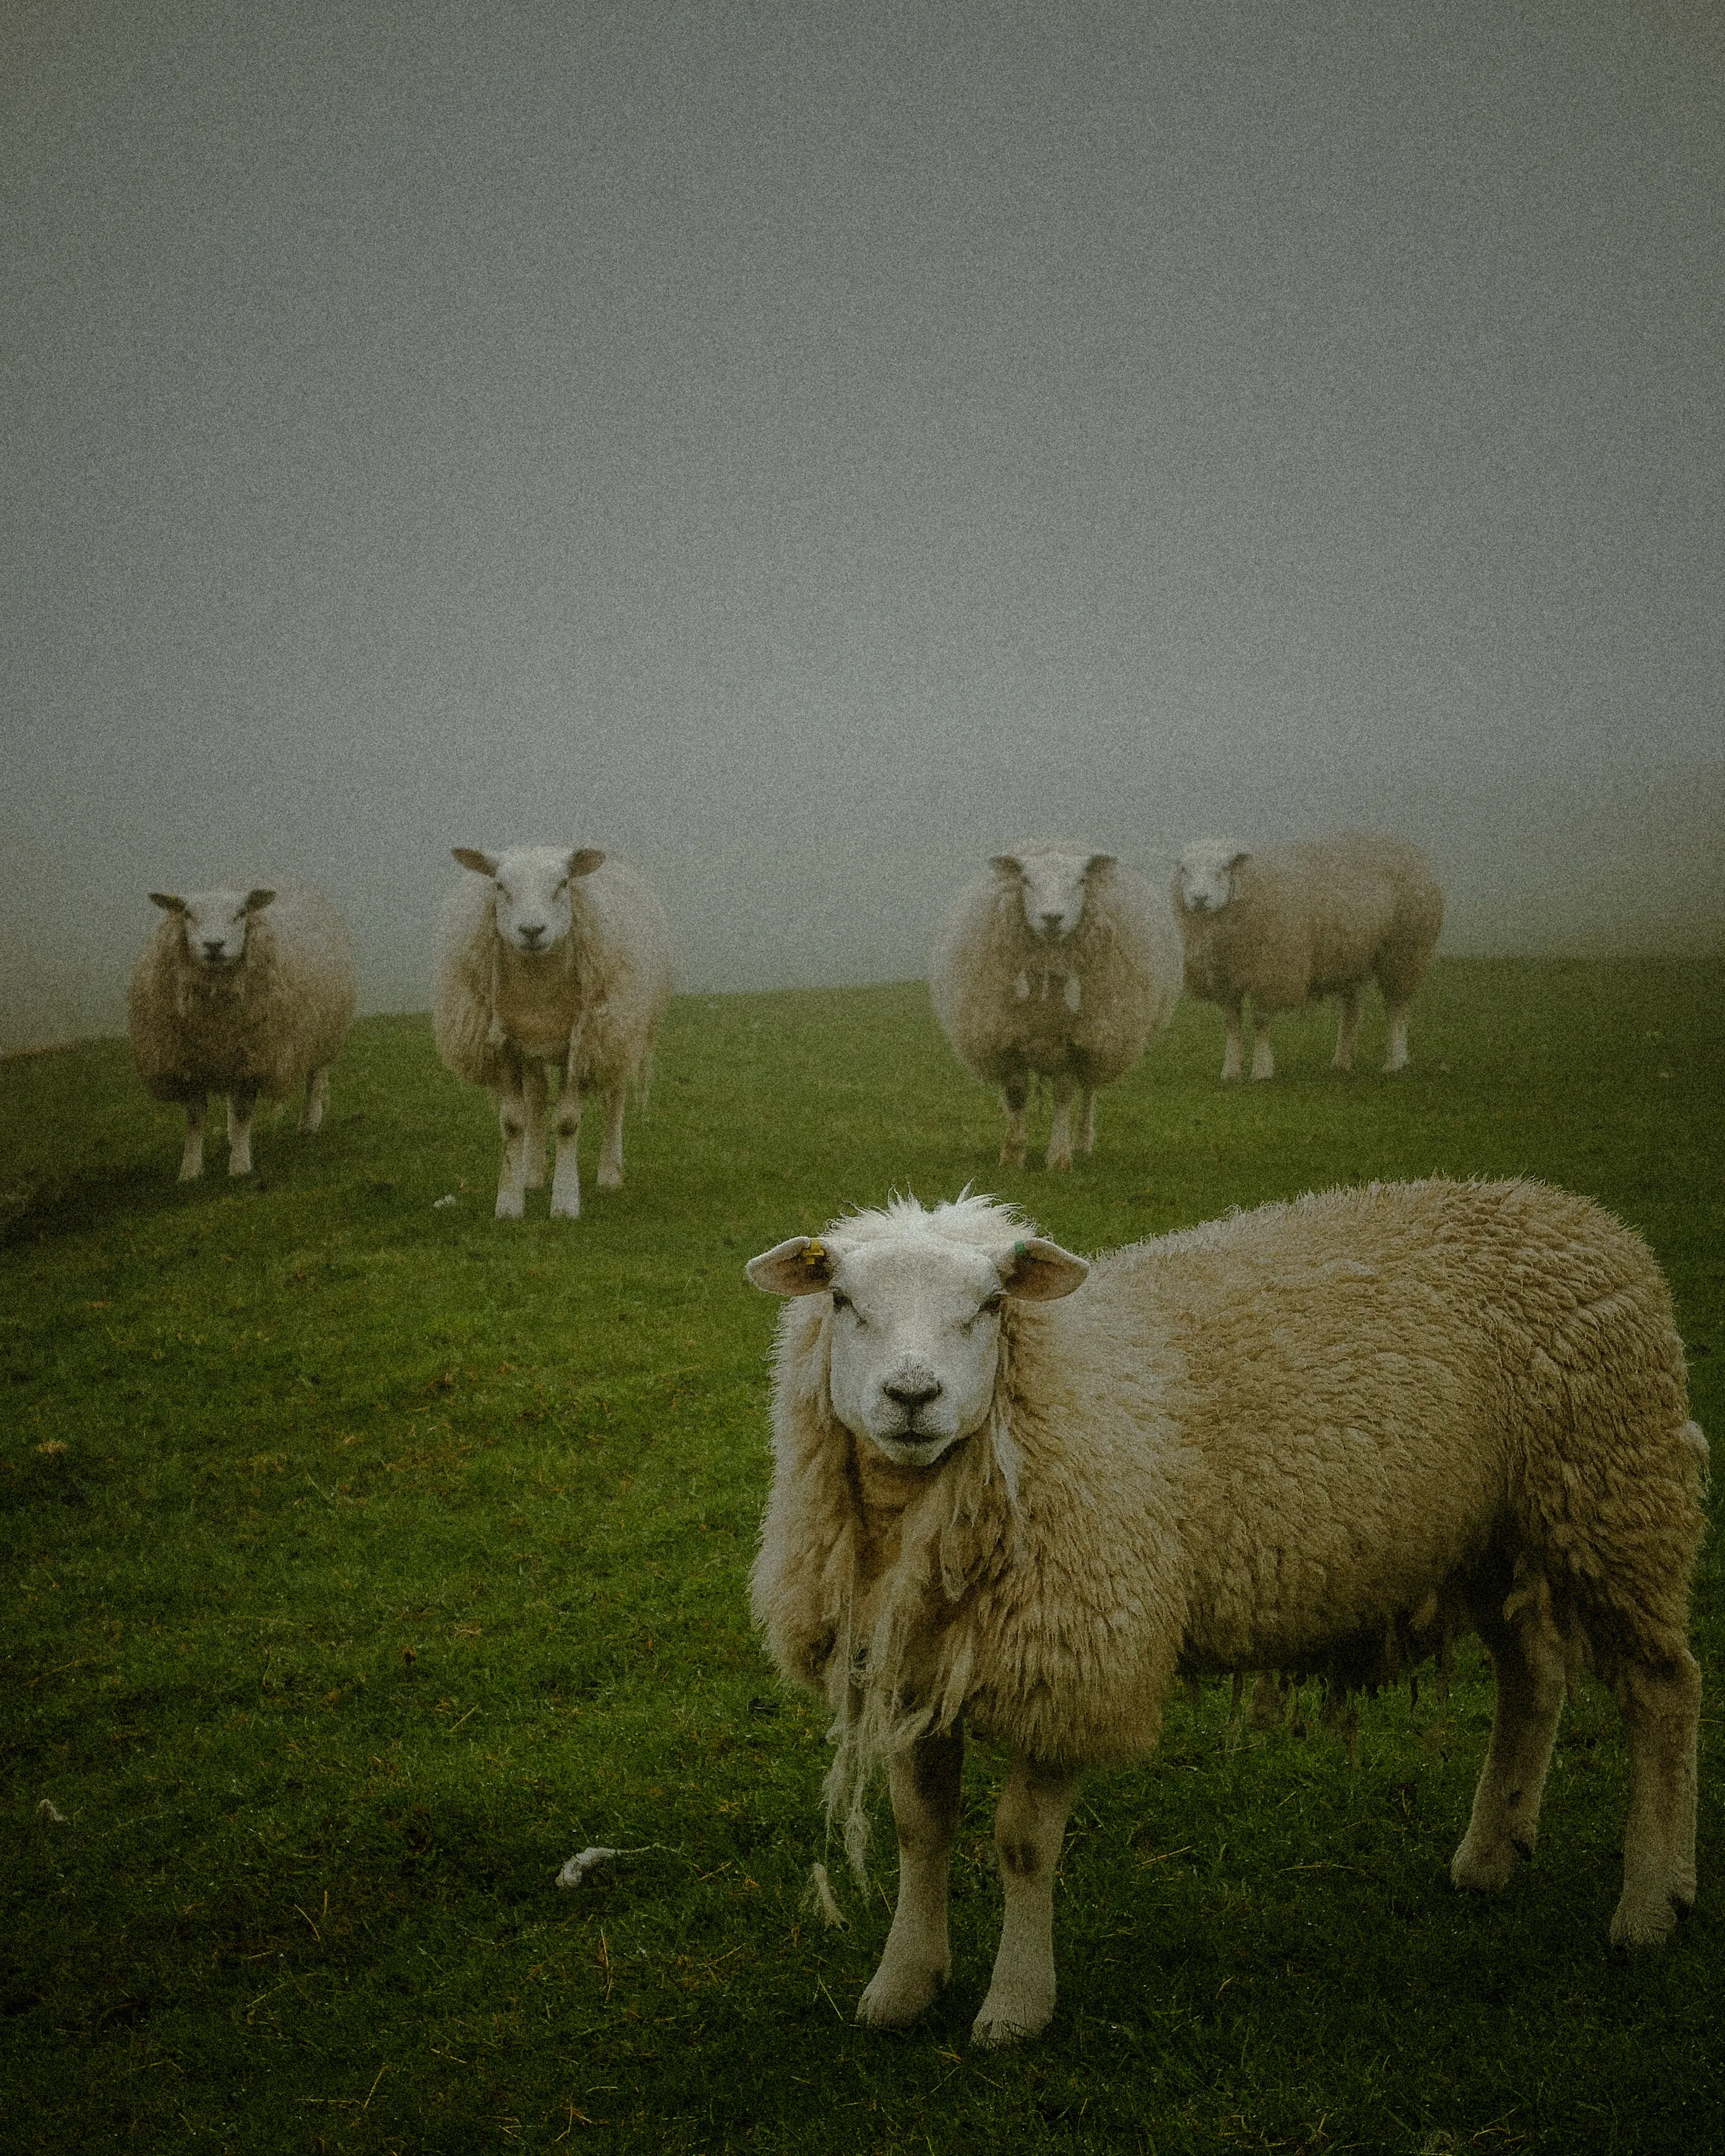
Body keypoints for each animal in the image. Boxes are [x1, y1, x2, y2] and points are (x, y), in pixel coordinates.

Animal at [127, 886, 356, 1181]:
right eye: (188, 914)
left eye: (241, 914)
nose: (214, 945)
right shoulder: (189, 1065)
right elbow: (195, 1119)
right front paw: (190, 1171)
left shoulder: (253, 1061)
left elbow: (244, 1113)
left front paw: (239, 1165)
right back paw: (230, 1134)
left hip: (324, 1032)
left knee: (315, 1078)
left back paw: (308, 1123)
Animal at [432, 845, 671, 1219]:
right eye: (499, 886)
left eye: (563, 884)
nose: (532, 930)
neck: (538, 993)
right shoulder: (505, 1048)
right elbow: (513, 1122)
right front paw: (510, 1202)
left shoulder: (583, 1044)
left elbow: (568, 1122)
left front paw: (565, 1203)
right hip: (535, 1050)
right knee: (537, 1099)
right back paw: (532, 1173)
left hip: (619, 1033)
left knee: (614, 1100)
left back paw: (610, 1172)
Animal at [747, 1180, 1704, 2046]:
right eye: (842, 1299)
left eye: (990, 1304)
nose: (912, 1395)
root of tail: (1579, 1213)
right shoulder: (909, 1663)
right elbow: (921, 1829)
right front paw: (902, 1983)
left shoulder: (1084, 1659)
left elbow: (1021, 1843)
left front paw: (1015, 2006)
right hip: (1494, 1529)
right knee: (1532, 1672)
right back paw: (1491, 1852)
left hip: (1614, 1489)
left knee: (1664, 1688)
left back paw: (1651, 1901)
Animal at [929, 844, 1181, 1170]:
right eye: (1025, 880)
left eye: (1081, 881)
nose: (1052, 918)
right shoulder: (1009, 1040)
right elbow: (1016, 1094)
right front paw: (1013, 1155)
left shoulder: (1070, 1044)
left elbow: (1064, 1095)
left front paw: (1059, 1157)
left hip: (1101, 1036)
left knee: (1089, 1090)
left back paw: (1082, 1141)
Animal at [1172, 833, 1443, 1082]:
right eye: (1185, 870)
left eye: (1222, 870)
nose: (1199, 899)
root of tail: (1408, 849)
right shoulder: (1225, 977)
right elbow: (1232, 1024)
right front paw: (1231, 1071)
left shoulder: (1273, 974)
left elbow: (1260, 1021)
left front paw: (1262, 1070)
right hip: (1350, 955)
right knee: (1353, 1009)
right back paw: (1342, 1060)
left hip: (1405, 950)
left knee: (1396, 1008)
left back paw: (1395, 1061)